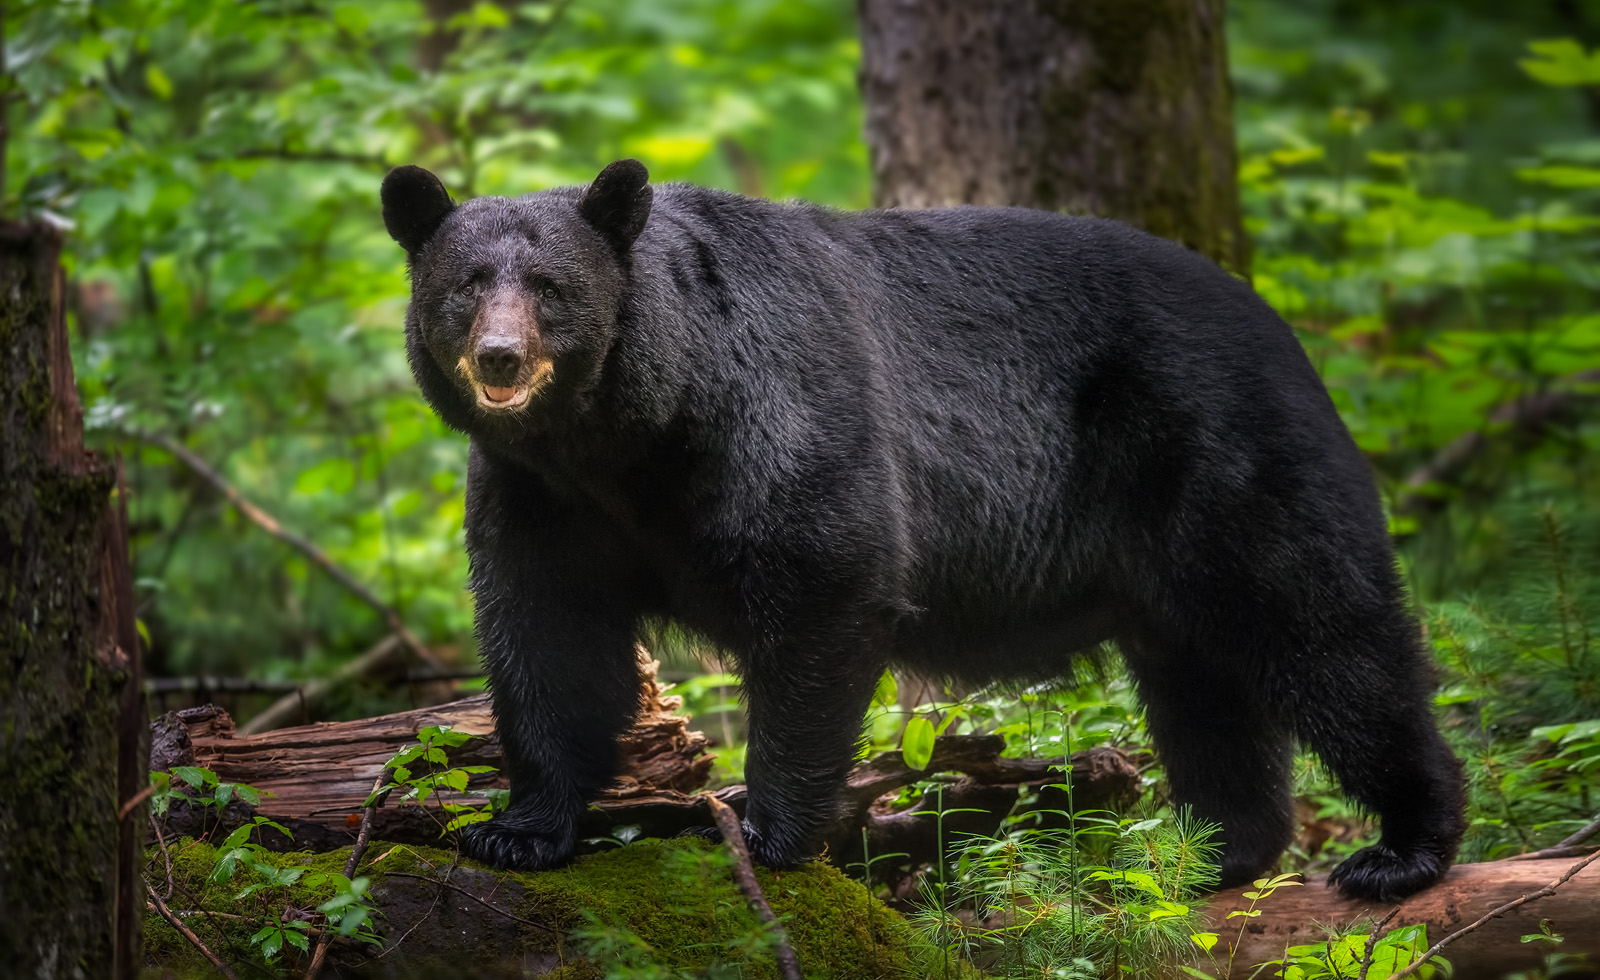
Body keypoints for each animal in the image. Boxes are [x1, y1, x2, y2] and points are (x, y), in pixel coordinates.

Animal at [384, 156, 1465, 896]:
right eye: (465, 283)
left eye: (552, 289)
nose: (500, 358)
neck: (626, 433)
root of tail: (1276, 318)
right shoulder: (542, 498)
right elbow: (550, 640)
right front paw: (516, 828)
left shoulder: (776, 411)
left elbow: (825, 582)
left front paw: (764, 827)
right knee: (1205, 686)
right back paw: (1215, 853)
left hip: (1222, 451)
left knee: (1325, 630)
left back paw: (1401, 846)